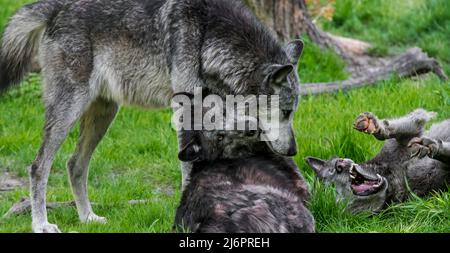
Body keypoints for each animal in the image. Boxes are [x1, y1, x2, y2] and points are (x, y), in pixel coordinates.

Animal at [308, 109, 450, 213]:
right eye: (329, 189)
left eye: (332, 168)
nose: (340, 164)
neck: (391, 175)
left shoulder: (410, 134)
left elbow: (408, 123)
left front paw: (374, 125)